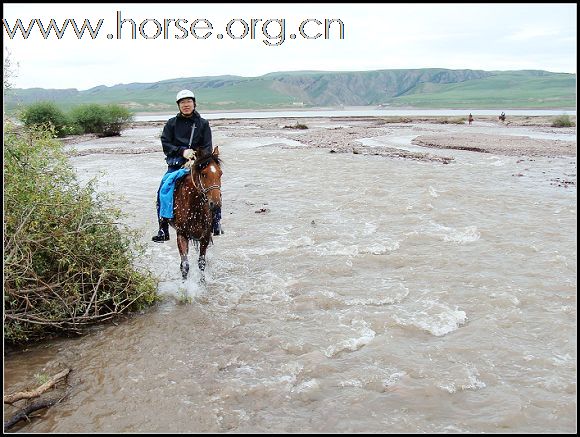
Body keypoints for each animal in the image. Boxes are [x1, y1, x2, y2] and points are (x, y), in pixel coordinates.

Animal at [170, 146, 222, 280]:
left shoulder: (205, 236)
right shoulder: (182, 235)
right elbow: (184, 265)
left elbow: (201, 263)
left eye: (220, 173)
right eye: (203, 174)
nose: (216, 204)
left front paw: (202, 282)